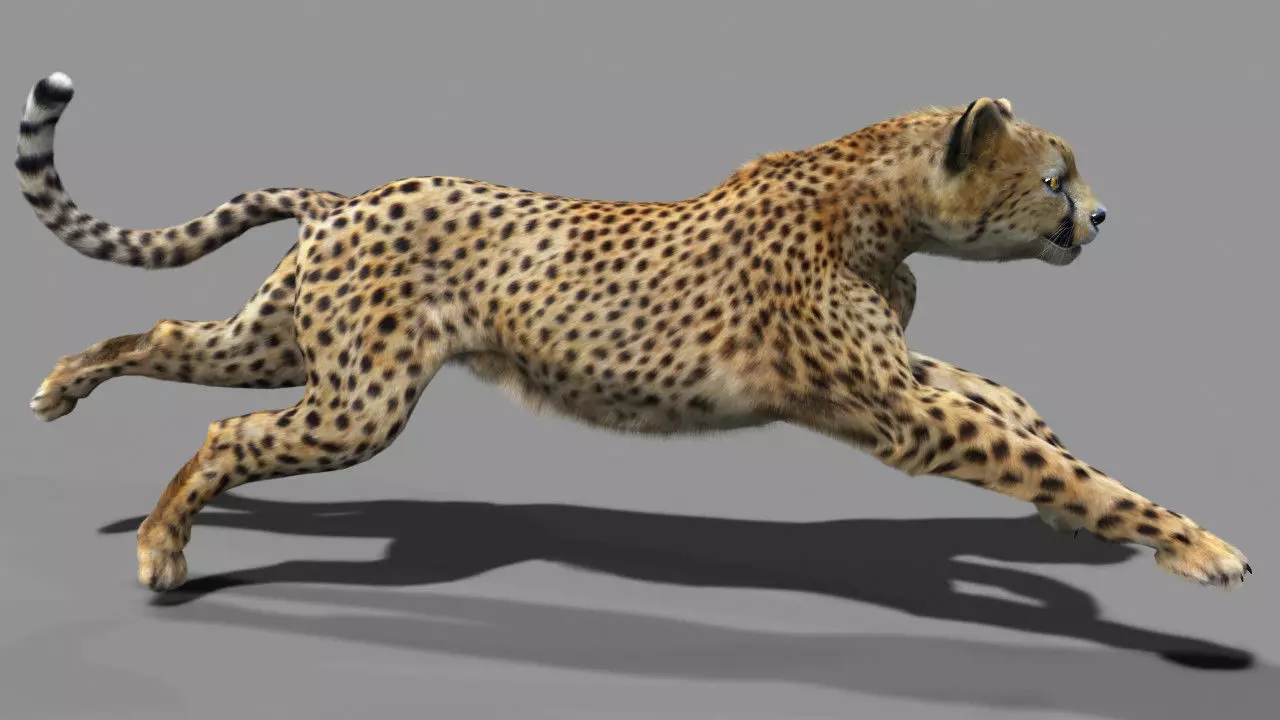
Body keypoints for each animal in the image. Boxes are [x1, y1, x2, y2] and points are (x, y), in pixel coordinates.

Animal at [17, 72, 1251, 594]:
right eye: (1053, 177)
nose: (1101, 216)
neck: (876, 203)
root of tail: (351, 196)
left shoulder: (896, 377)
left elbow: (1012, 404)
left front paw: (1071, 513)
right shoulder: (897, 411)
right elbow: (1044, 455)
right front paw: (1195, 547)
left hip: (285, 348)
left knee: (164, 331)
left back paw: (61, 385)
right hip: (354, 404)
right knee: (227, 438)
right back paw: (161, 549)